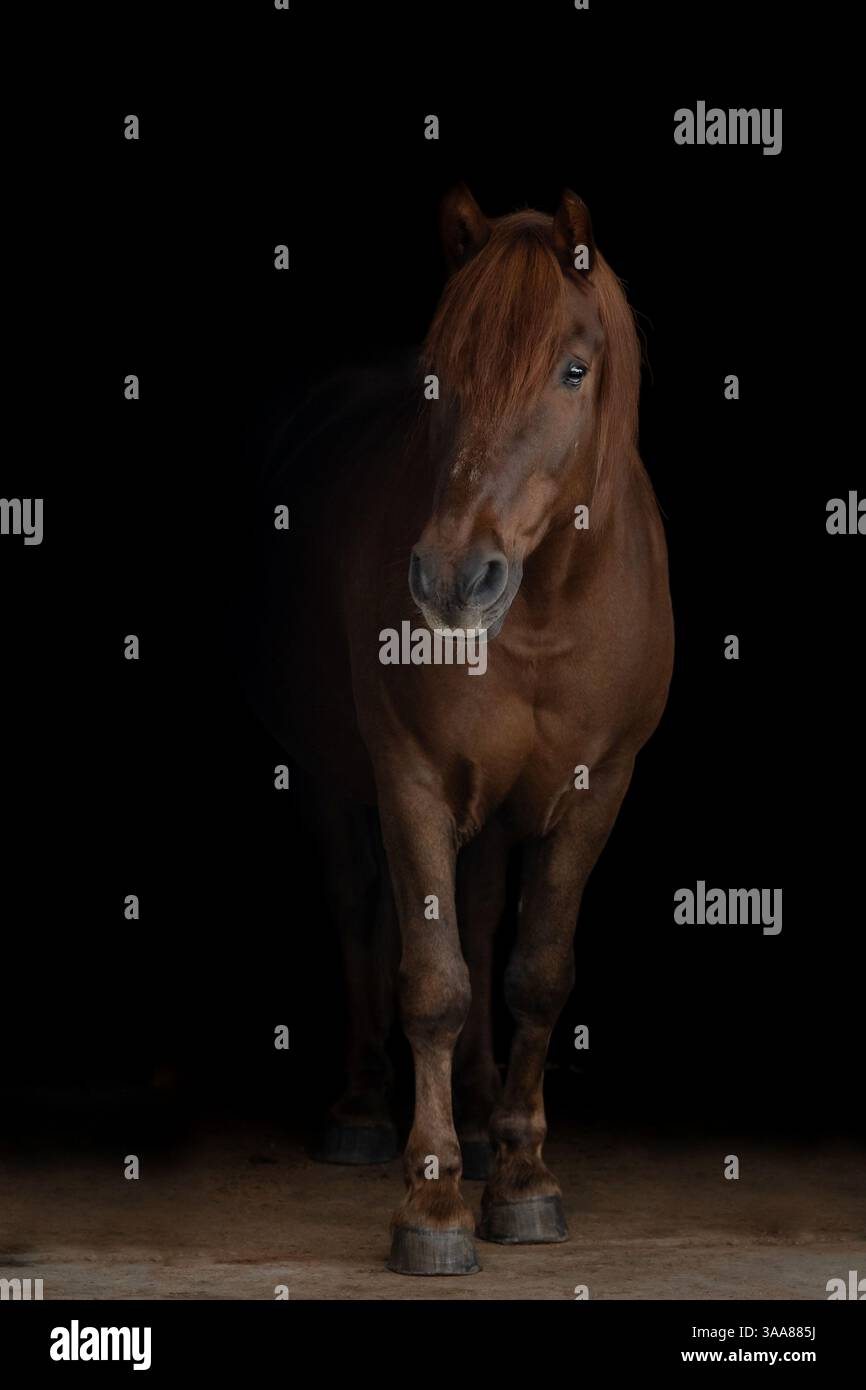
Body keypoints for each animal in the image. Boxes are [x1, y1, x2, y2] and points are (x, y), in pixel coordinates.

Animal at [240, 184, 674, 1276]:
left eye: (572, 368)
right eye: (440, 373)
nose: (448, 578)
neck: (548, 610)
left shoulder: (596, 790)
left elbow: (533, 977)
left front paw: (519, 1178)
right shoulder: (411, 780)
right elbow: (433, 979)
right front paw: (432, 1202)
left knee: (481, 921)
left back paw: (480, 1127)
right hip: (328, 780)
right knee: (361, 913)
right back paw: (361, 1112)